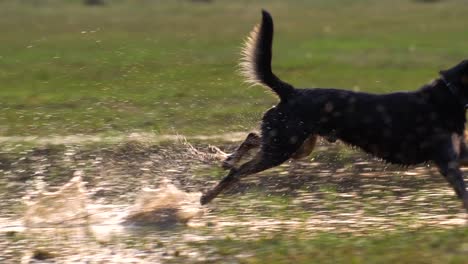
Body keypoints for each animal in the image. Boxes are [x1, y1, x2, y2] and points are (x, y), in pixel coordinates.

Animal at [202, 10, 468, 212]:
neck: (451, 94)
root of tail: (291, 92)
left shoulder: (458, 156)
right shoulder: (447, 162)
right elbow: (464, 194)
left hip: (295, 146)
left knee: (252, 138)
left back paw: (227, 159)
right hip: (282, 148)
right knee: (238, 172)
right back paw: (207, 195)